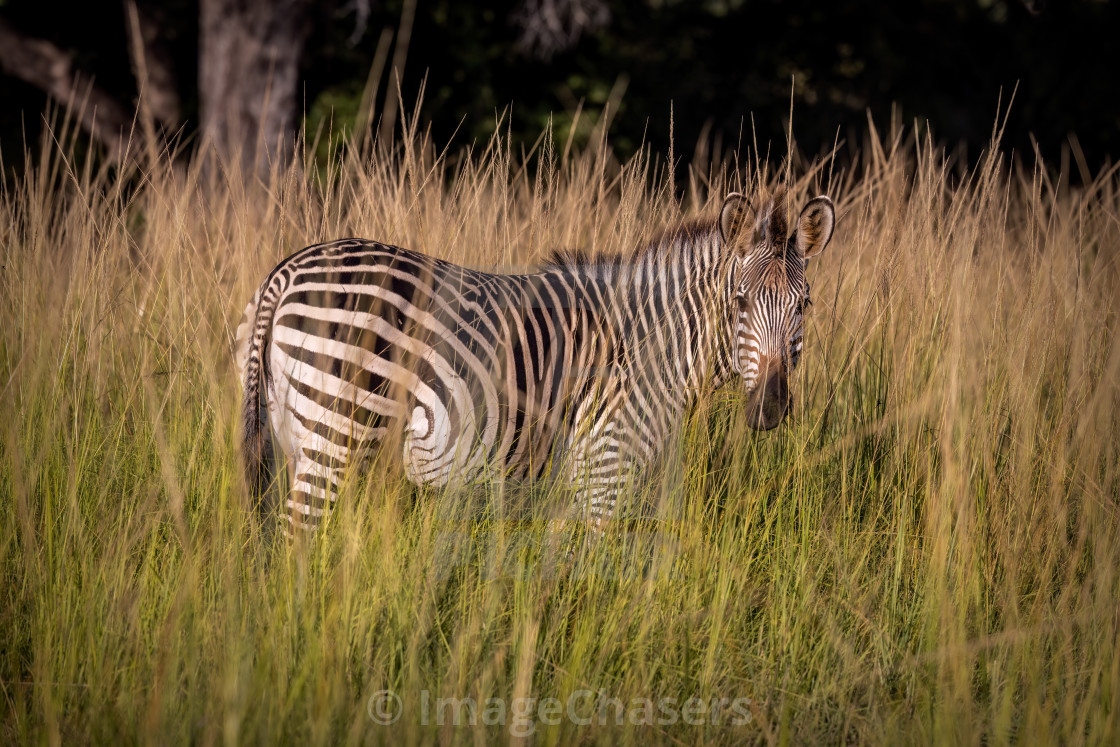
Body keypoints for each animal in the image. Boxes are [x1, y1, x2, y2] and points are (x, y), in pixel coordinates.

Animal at [234, 187, 833, 537]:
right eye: (739, 304)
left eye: (804, 306)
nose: (770, 409)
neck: (649, 345)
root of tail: (288, 270)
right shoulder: (605, 469)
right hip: (336, 432)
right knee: (298, 537)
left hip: (293, 433)